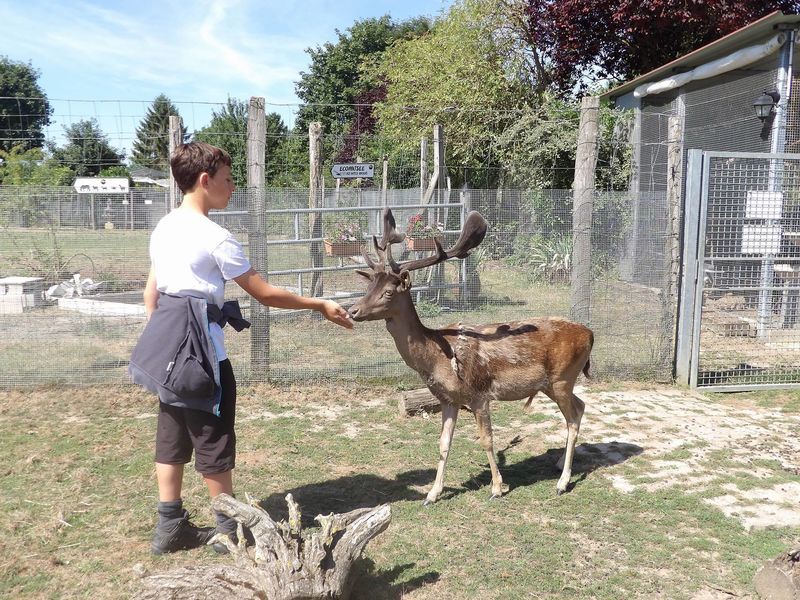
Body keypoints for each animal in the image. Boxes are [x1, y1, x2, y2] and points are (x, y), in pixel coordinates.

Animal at [350, 209, 592, 504]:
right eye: (368, 287)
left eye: (387, 292)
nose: (352, 311)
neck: (437, 358)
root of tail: (590, 334)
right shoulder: (448, 399)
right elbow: (444, 443)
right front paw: (432, 494)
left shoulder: (479, 395)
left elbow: (487, 439)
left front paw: (497, 488)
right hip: (553, 384)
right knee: (580, 407)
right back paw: (558, 464)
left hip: (563, 378)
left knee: (572, 418)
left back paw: (562, 482)